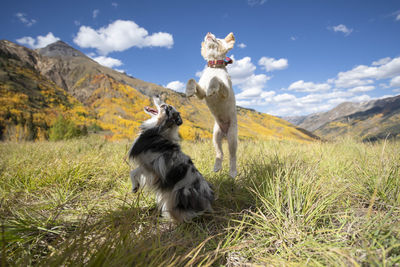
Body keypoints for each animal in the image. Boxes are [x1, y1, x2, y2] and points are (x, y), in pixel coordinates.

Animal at [185, 33, 238, 178]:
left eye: (218, 39)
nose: (209, 34)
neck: (214, 66)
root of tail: (225, 132)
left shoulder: (225, 92)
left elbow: (216, 80)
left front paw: (212, 88)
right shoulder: (201, 93)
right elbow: (192, 80)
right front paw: (189, 90)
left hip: (232, 138)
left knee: (232, 156)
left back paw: (233, 172)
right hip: (216, 137)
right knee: (220, 153)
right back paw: (217, 167)